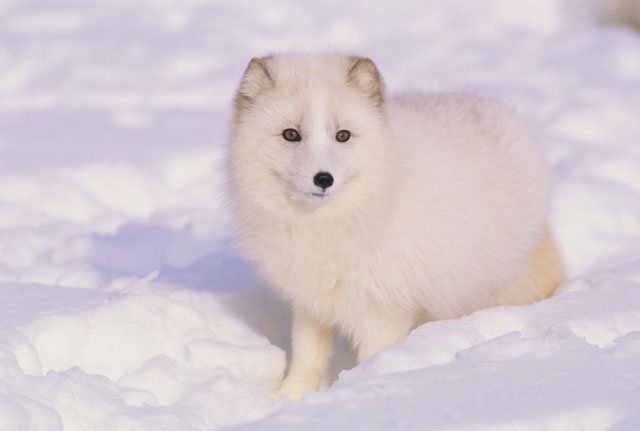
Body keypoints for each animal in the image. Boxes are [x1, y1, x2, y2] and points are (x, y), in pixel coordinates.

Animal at [226, 54, 564, 402]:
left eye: (343, 135)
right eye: (291, 134)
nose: (323, 179)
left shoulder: (384, 310)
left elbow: (372, 356)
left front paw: (364, 387)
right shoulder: (310, 302)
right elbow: (306, 357)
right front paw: (287, 399)